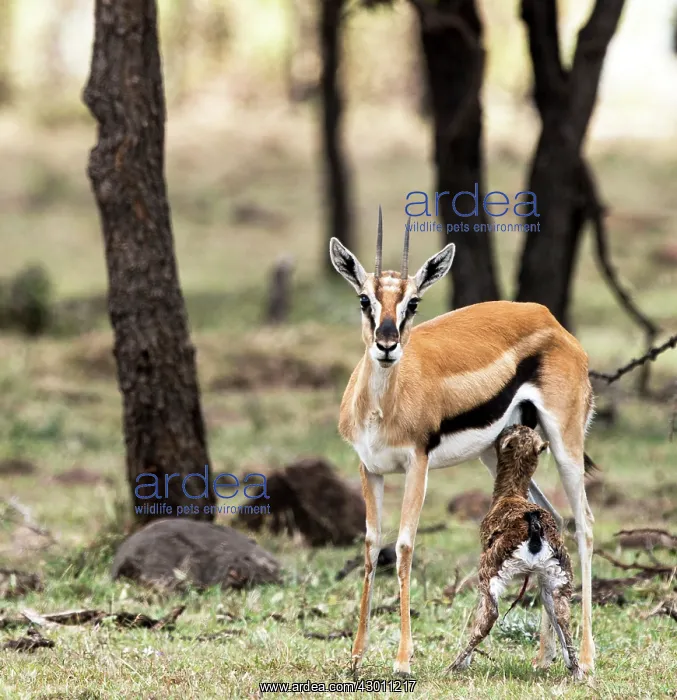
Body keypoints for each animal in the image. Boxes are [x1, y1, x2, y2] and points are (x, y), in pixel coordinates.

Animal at [329, 208, 596, 677]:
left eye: (413, 302)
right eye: (364, 299)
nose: (386, 344)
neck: (383, 408)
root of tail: (550, 320)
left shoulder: (418, 464)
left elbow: (404, 546)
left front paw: (403, 660)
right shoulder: (369, 467)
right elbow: (370, 546)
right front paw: (356, 658)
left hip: (565, 444)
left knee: (585, 524)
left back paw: (585, 657)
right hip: (498, 451)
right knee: (553, 515)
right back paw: (544, 656)